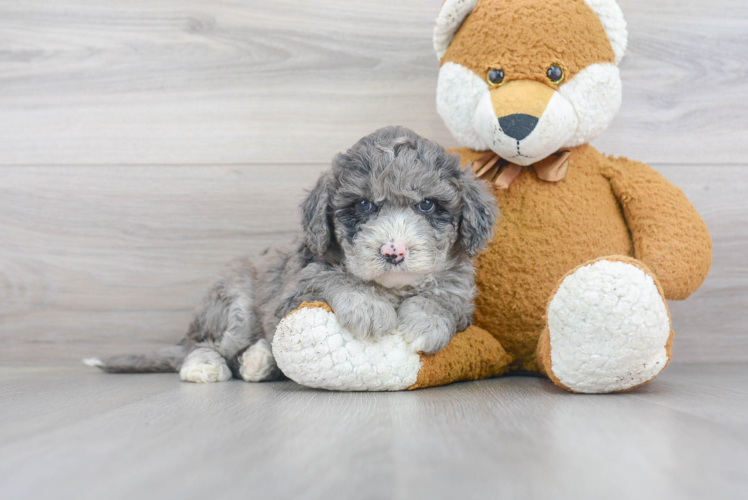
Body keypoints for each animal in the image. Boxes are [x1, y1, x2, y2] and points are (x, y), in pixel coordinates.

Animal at [84, 126, 496, 382]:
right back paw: (205, 367)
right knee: (204, 344)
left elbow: (441, 300)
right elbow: (336, 279)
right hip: (233, 302)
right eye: (363, 205)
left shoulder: (461, 293)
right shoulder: (298, 285)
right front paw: (368, 307)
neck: (392, 286)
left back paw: (260, 361)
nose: (393, 250)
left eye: (427, 205)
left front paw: (423, 323)